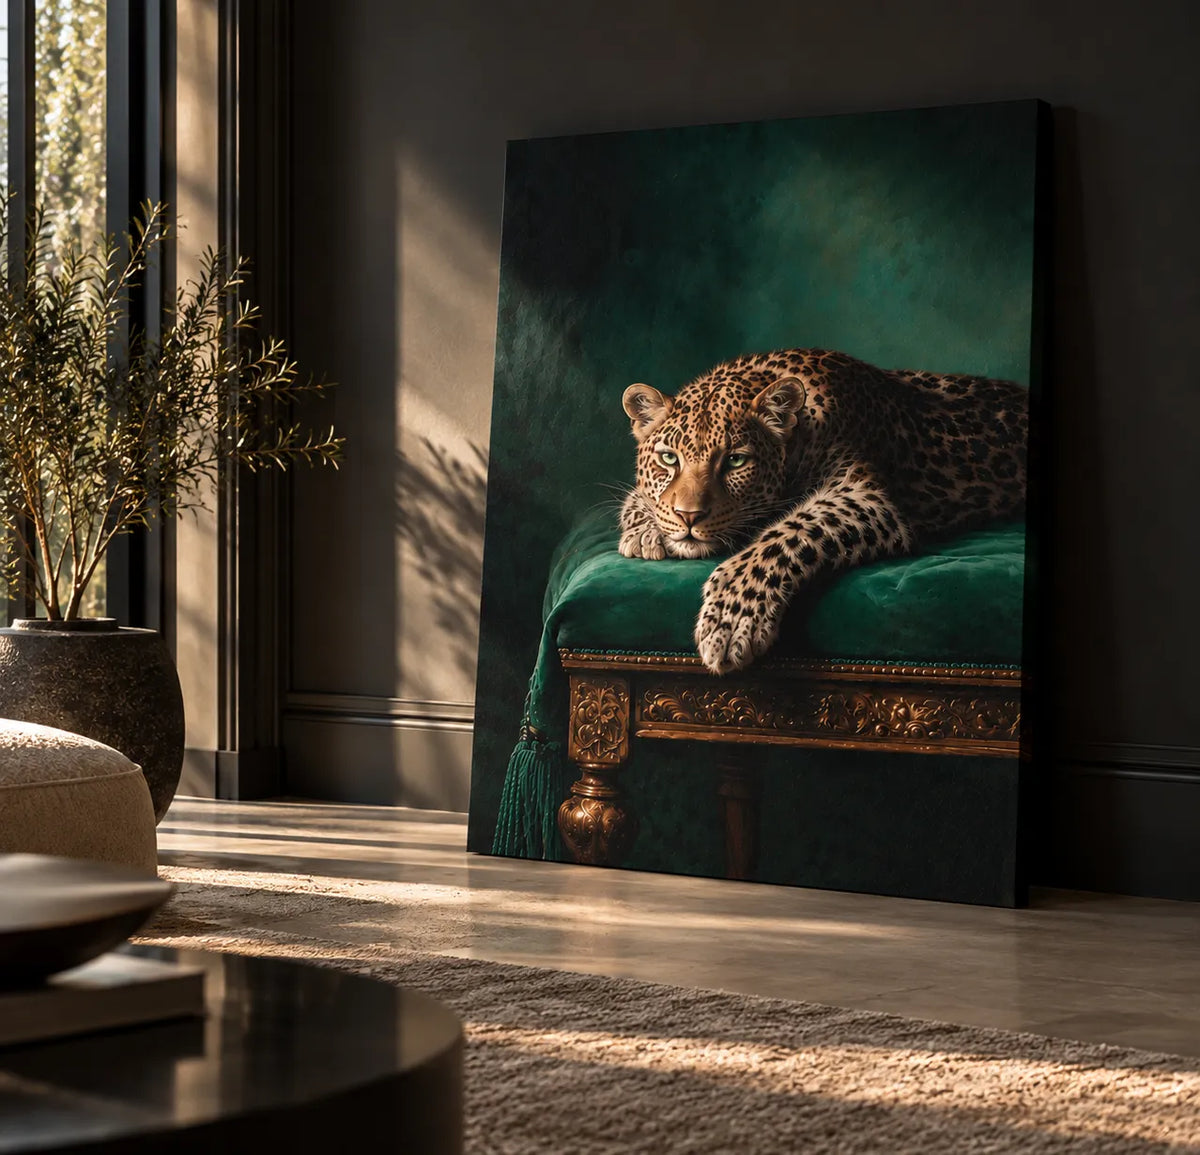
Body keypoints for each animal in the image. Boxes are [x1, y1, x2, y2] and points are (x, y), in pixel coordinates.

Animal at [618, 348, 1028, 675]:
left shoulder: (865, 497)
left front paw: (731, 620)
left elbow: (787, 534)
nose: (689, 516)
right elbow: (636, 497)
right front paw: (644, 532)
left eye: (735, 461)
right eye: (669, 459)